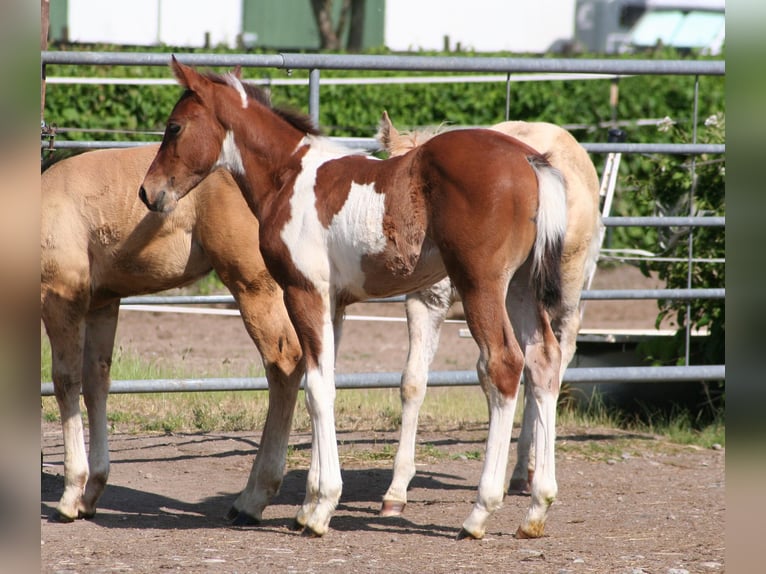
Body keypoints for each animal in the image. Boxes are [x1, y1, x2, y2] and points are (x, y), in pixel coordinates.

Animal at [41, 144, 305, 522]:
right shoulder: (102, 303)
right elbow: (96, 383)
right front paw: (91, 493)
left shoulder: (61, 296)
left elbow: (65, 383)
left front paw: (70, 495)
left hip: (254, 284)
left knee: (284, 363)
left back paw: (254, 499)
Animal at [140, 58, 568, 540]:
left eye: (174, 127)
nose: (148, 192)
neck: (288, 176)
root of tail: (530, 159)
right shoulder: (335, 303)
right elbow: (323, 380)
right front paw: (308, 504)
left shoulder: (303, 291)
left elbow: (315, 389)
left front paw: (321, 509)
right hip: (521, 287)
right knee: (545, 361)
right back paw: (536, 509)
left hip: (481, 283)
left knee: (504, 365)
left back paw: (479, 512)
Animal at [376, 113, 602, 519]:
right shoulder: (424, 302)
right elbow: (413, 382)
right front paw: (396, 490)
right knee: (532, 369)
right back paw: (521, 473)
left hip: (563, 299)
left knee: (554, 363)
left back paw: (527, 469)